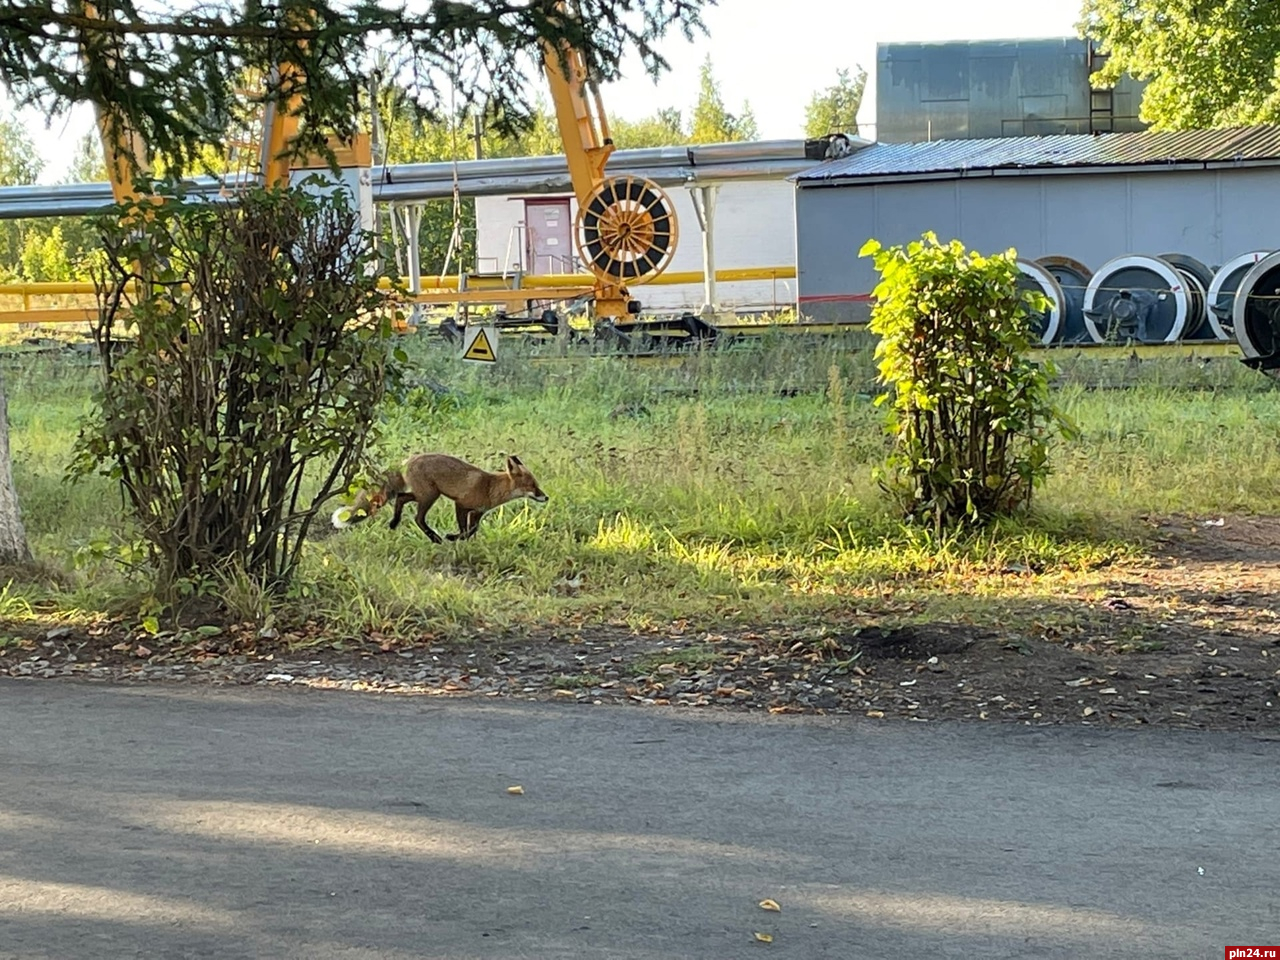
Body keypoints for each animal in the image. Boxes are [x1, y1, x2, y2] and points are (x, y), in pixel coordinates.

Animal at [330, 455, 545, 545]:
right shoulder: (461, 505)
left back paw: (394, 522)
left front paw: (465, 542)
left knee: (400, 498)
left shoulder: (477, 513)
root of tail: (408, 460)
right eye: (532, 486)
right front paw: (453, 538)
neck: (489, 487)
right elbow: (465, 530)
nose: (546, 496)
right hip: (430, 496)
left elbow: (472, 530)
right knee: (418, 518)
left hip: (423, 494)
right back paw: (434, 538)